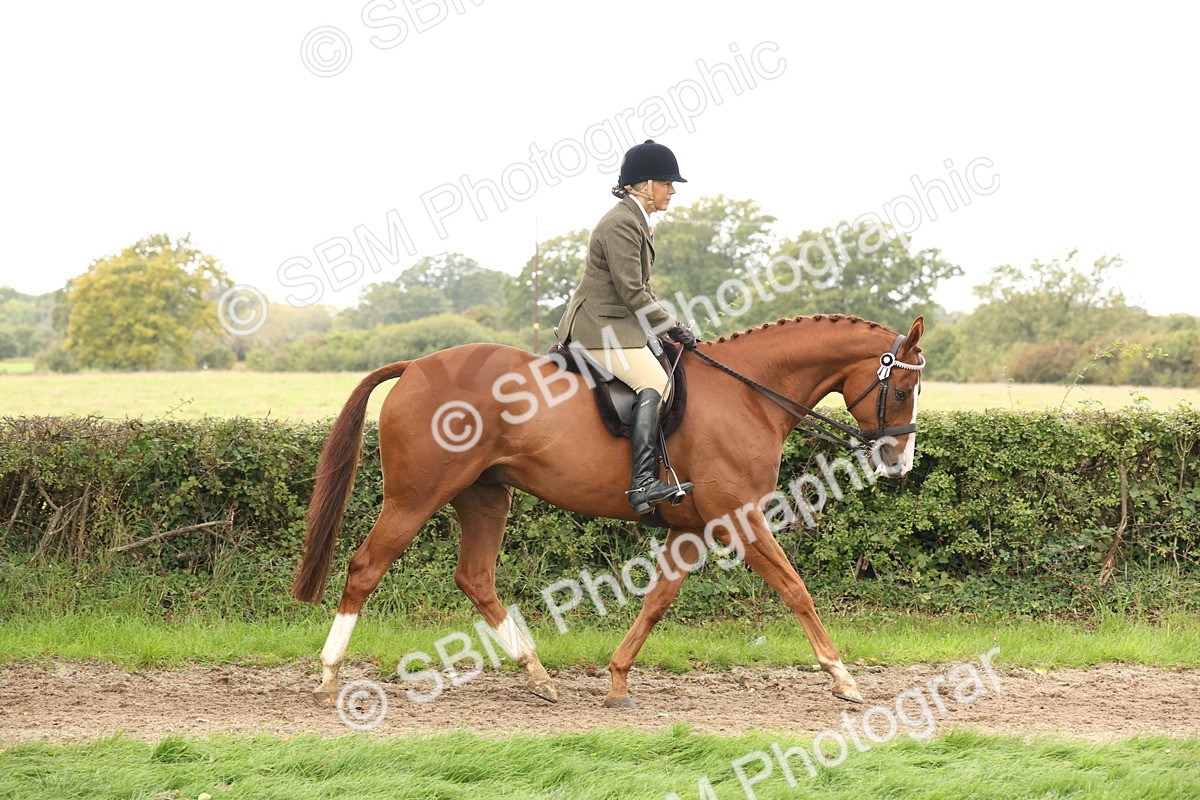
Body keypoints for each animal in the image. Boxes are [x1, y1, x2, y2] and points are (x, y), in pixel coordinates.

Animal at [291, 313, 925, 708]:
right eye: (901, 390)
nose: (900, 462)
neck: (750, 393)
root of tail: (416, 366)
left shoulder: (693, 529)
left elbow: (657, 602)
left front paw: (618, 680)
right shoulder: (740, 518)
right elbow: (796, 590)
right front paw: (842, 678)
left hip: (486, 495)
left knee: (474, 577)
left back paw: (538, 674)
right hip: (416, 497)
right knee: (366, 567)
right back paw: (328, 674)